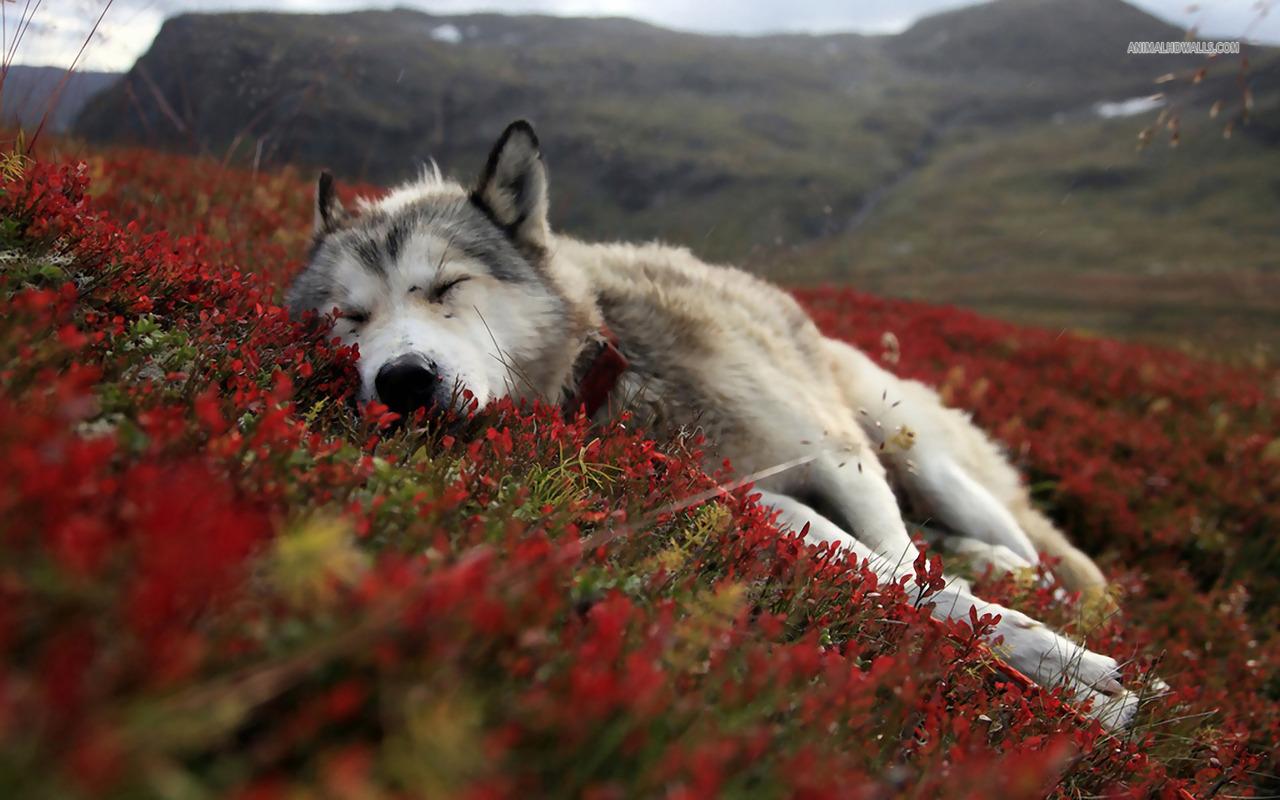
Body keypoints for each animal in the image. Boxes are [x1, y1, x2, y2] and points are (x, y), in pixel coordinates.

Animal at [286, 120, 1139, 728]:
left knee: (1039, 553)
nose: (402, 382)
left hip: (912, 449)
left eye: (447, 287)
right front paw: (1066, 681)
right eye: (349, 317)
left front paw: (1065, 669)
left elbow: (905, 569)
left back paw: (1037, 581)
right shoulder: (758, 500)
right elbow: (898, 581)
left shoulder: (838, 458)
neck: (617, 367)